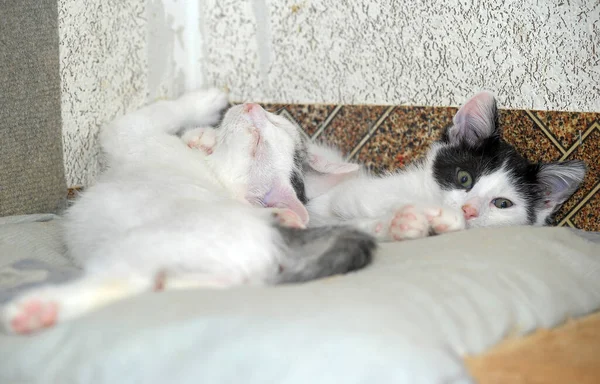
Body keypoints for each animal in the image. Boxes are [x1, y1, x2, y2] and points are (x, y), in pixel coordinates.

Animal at [1, 88, 376, 334]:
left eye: (257, 142)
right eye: (276, 121)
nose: (252, 106)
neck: (212, 175)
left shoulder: (130, 134)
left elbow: (152, 114)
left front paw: (206, 100)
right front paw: (203, 134)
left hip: (142, 244)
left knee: (120, 284)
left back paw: (38, 310)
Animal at [302, 91, 584, 242]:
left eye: (503, 204)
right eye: (464, 178)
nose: (469, 210)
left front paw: (405, 226)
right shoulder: (353, 193)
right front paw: (434, 216)